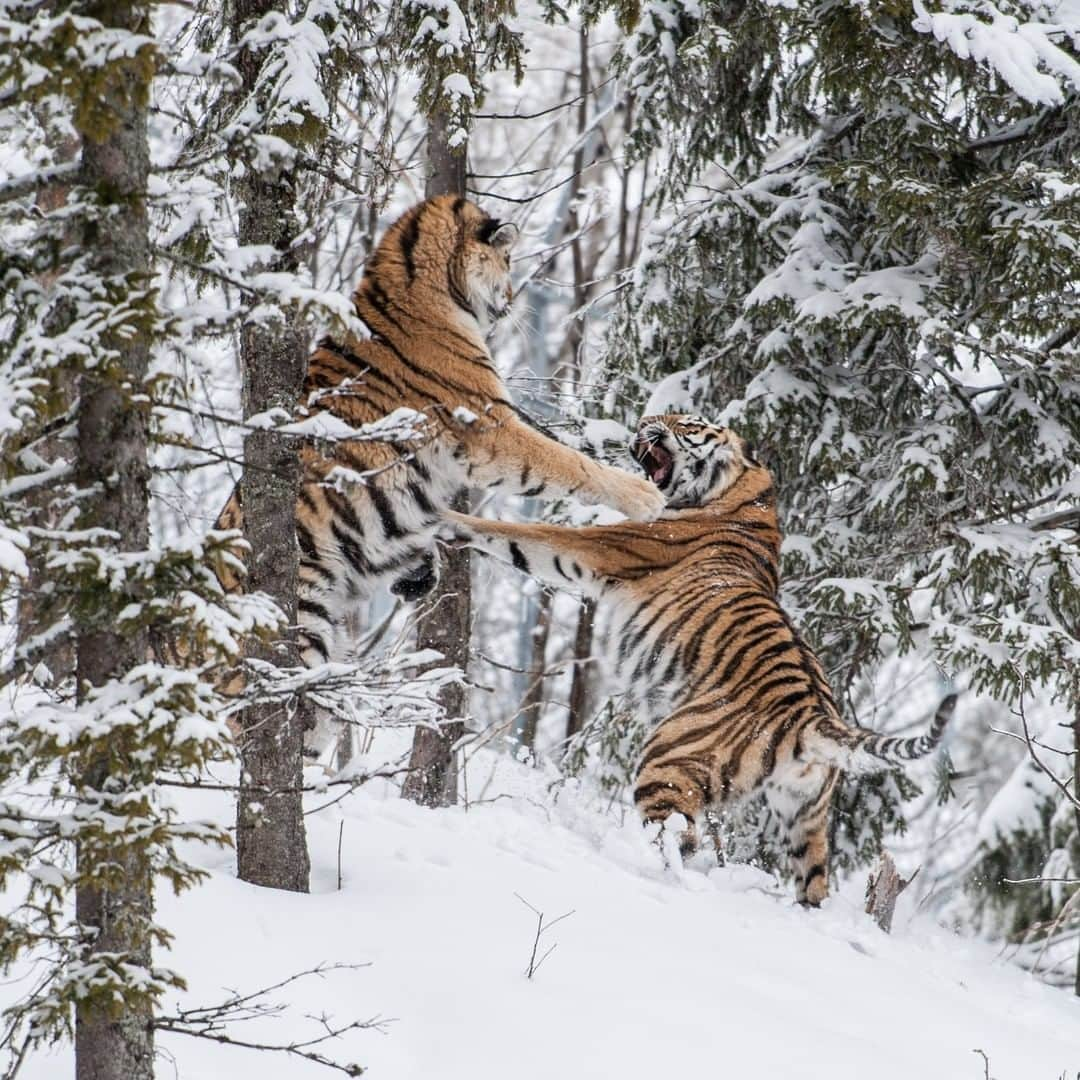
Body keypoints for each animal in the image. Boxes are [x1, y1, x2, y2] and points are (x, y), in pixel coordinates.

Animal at [214, 196, 660, 751]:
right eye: (508, 261)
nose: (511, 299)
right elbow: (564, 460)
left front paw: (420, 570)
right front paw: (641, 494)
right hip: (303, 622)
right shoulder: (490, 425)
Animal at [447, 416, 954, 907]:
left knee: (678, 840)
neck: (746, 493)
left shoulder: (604, 546)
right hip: (805, 815)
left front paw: (446, 517)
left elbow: (521, 535)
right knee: (812, 883)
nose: (644, 422)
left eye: (685, 423)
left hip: (668, 759)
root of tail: (814, 715)